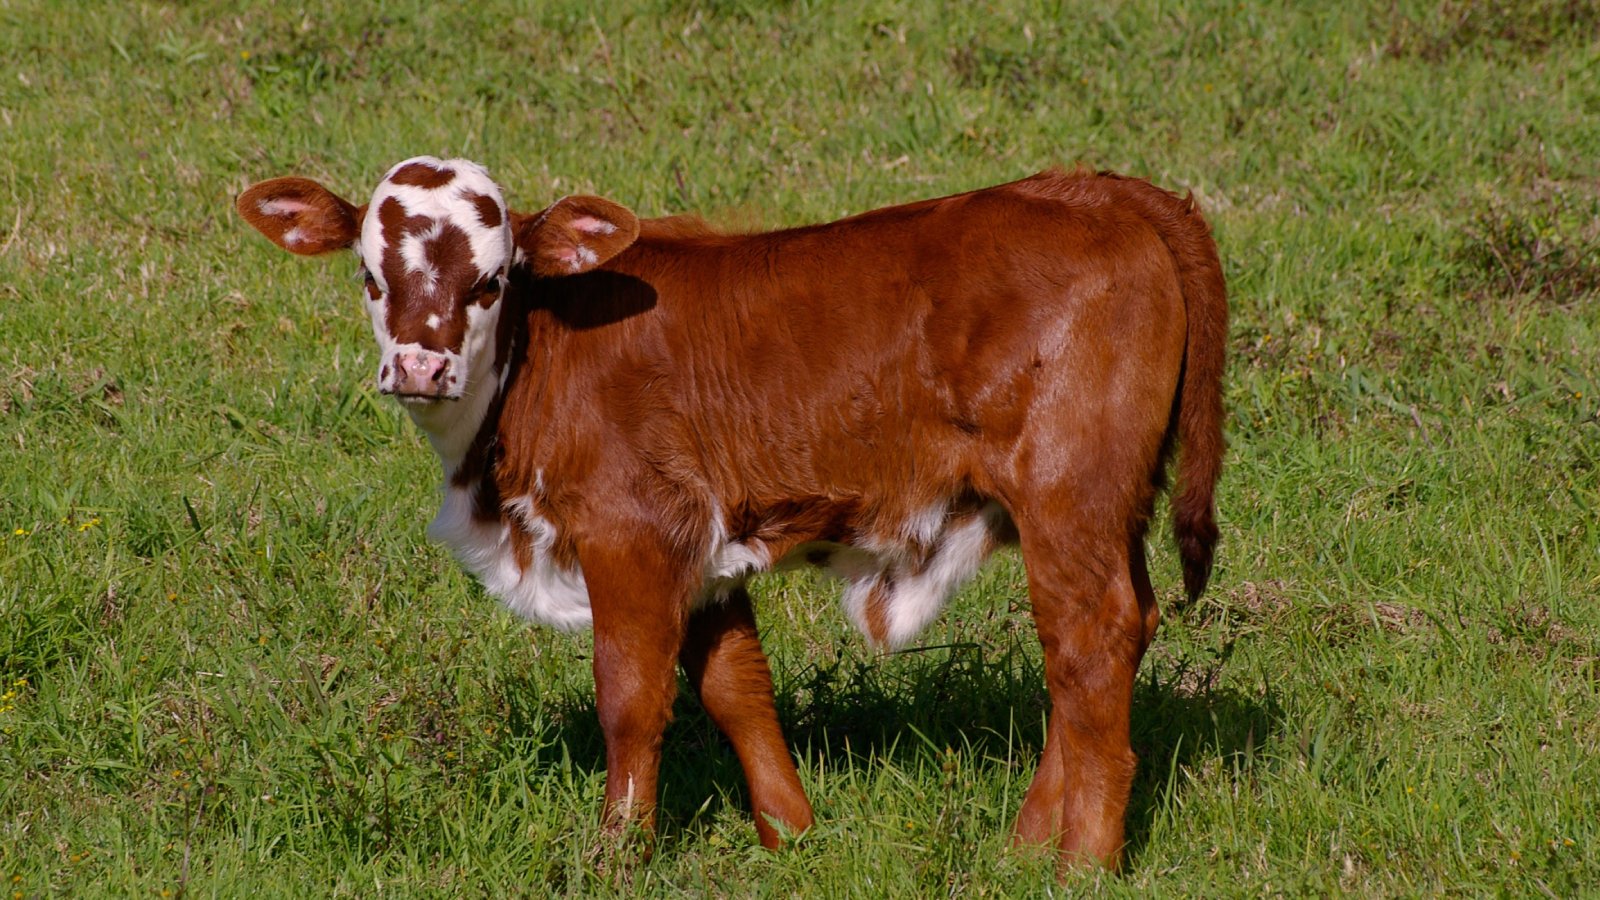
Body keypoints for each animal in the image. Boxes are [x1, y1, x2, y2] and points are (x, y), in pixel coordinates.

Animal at [236, 156, 1226, 871]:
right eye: (370, 277)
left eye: (491, 281)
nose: (419, 367)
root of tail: (1097, 187)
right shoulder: (705, 549)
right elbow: (737, 688)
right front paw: (791, 832)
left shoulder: (631, 532)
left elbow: (632, 699)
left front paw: (616, 856)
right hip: (1111, 505)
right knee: (1120, 630)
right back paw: (1026, 844)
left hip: (1066, 493)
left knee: (1088, 641)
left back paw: (1081, 861)